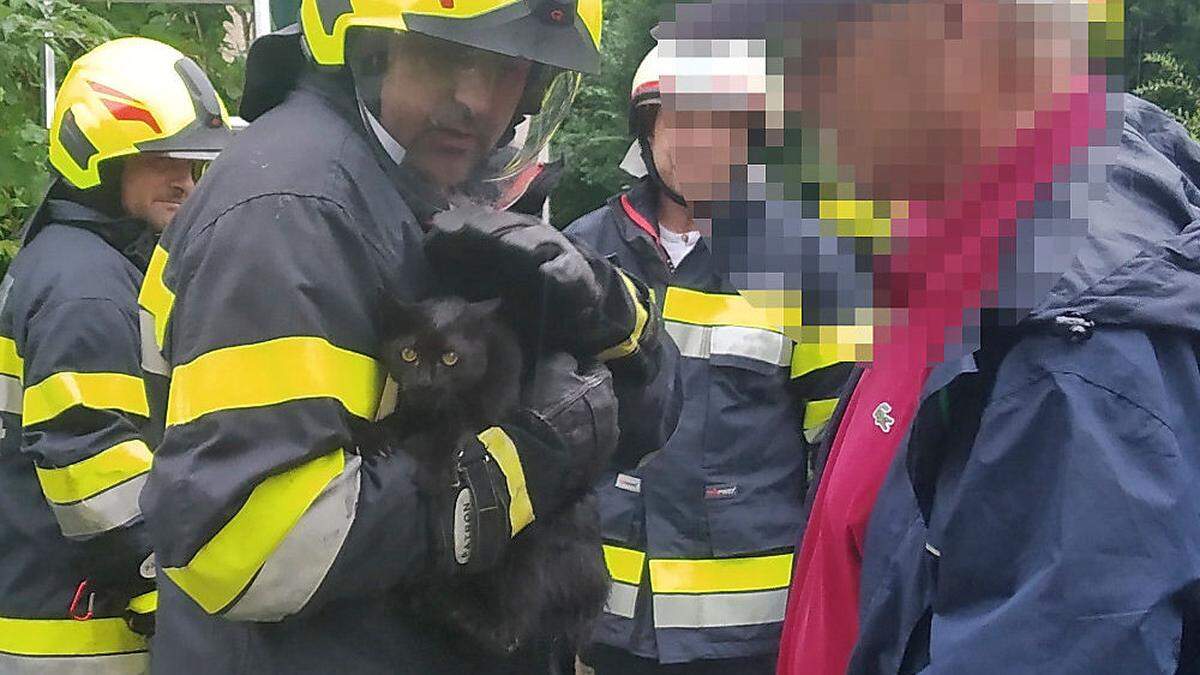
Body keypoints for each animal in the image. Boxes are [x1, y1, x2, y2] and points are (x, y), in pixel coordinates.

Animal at [379, 294, 614, 653]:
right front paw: (371, 435)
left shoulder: (487, 412)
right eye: (409, 354)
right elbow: (401, 422)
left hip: (535, 545)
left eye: (450, 358)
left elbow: (454, 431)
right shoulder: (415, 407)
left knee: (512, 627)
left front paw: (437, 467)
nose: (425, 381)